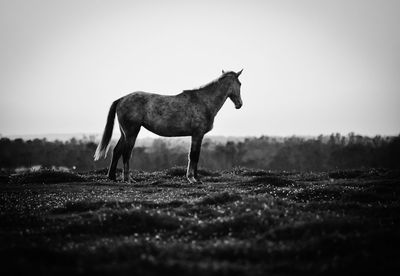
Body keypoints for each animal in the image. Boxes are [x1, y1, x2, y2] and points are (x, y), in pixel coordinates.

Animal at [94, 69, 244, 182]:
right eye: (240, 83)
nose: (239, 104)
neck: (203, 101)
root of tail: (121, 99)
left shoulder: (197, 136)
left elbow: (195, 155)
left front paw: (196, 178)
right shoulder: (197, 134)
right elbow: (194, 155)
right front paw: (192, 178)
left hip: (124, 133)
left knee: (117, 151)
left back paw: (112, 177)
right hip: (131, 132)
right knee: (126, 153)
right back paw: (128, 179)